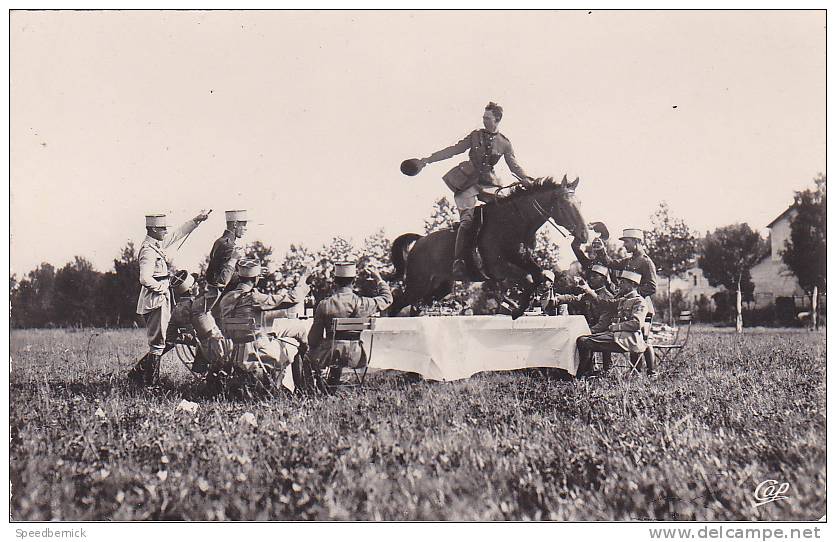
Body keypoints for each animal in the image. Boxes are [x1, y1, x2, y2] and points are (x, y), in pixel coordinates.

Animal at [386, 176, 588, 318]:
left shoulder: (523, 260)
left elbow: (540, 274)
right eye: (565, 205)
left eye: (580, 203)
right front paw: (516, 310)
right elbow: (530, 278)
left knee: (419, 304)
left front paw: (520, 307)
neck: (514, 223)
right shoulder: (499, 268)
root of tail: (420, 241)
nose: (584, 236)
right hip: (417, 284)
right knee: (397, 305)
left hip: (441, 285)